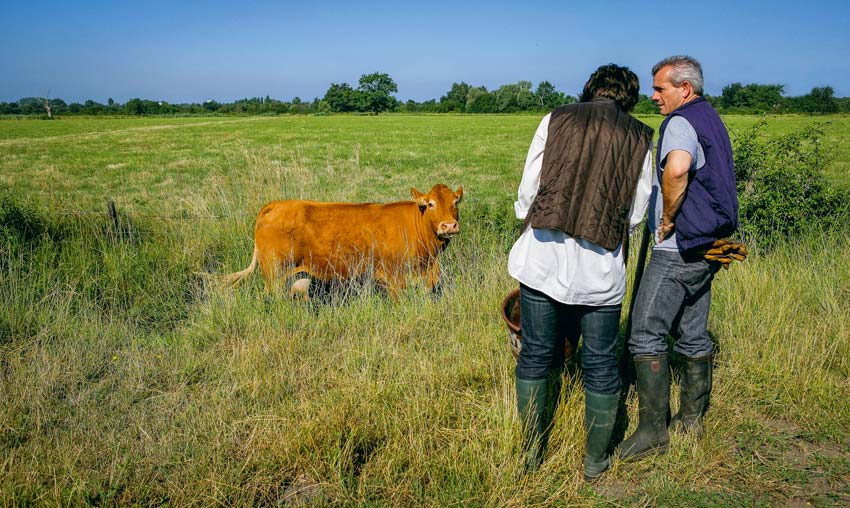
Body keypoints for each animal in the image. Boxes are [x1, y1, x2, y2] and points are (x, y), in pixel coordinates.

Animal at [222, 184, 460, 296]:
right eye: (430, 204)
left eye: (456, 202)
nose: (448, 225)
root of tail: (276, 205)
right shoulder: (394, 279)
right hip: (274, 273)